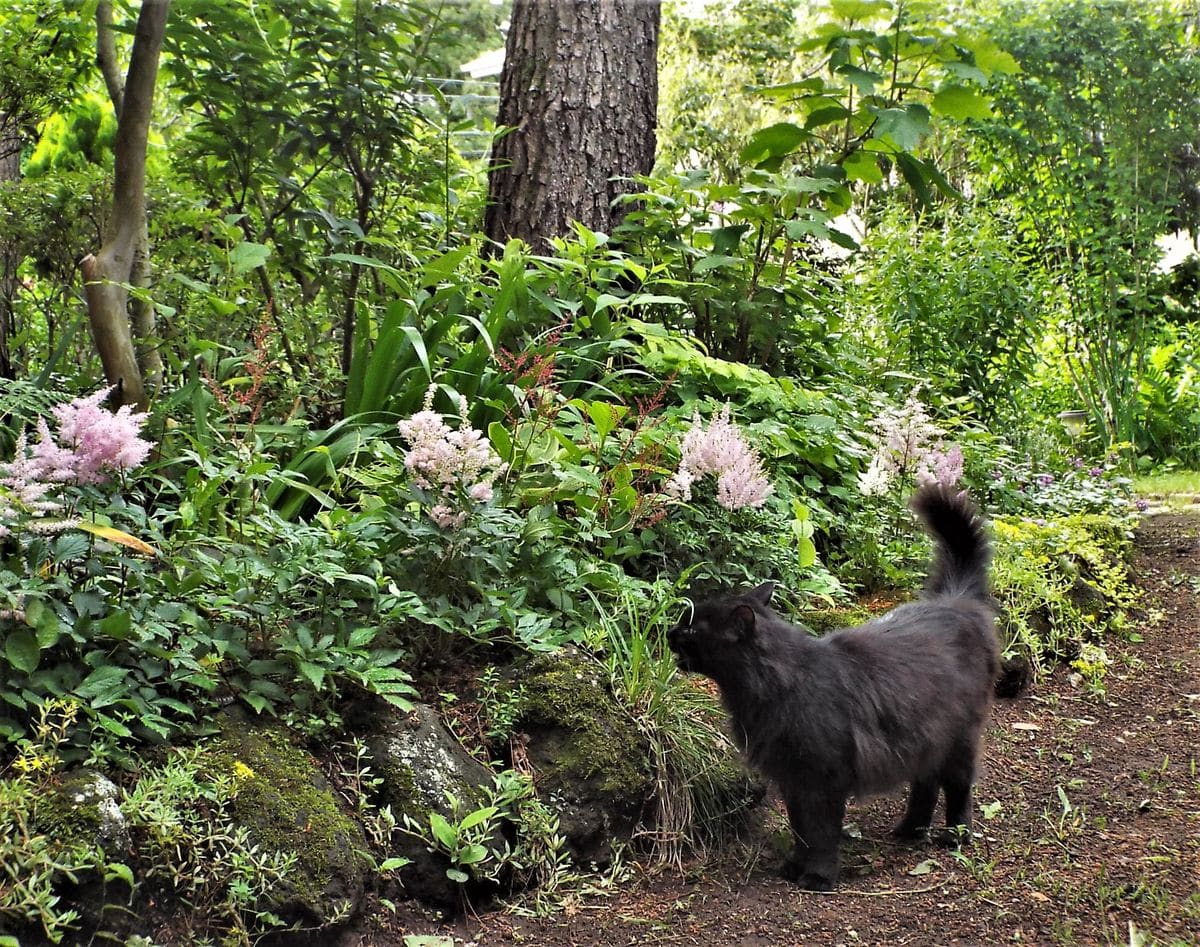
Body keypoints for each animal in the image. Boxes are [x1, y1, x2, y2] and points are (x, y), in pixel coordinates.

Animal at [672, 484, 998, 888]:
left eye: (691, 629)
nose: (669, 631)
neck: (777, 686)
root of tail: (955, 600)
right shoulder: (792, 779)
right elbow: (801, 829)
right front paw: (795, 867)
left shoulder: (823, 779)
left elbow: (822, 832)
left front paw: (818, 877)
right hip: (923, 741)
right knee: (925, 785)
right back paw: (909, 830)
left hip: (959, 738)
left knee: (957, 788)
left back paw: (954, 836)